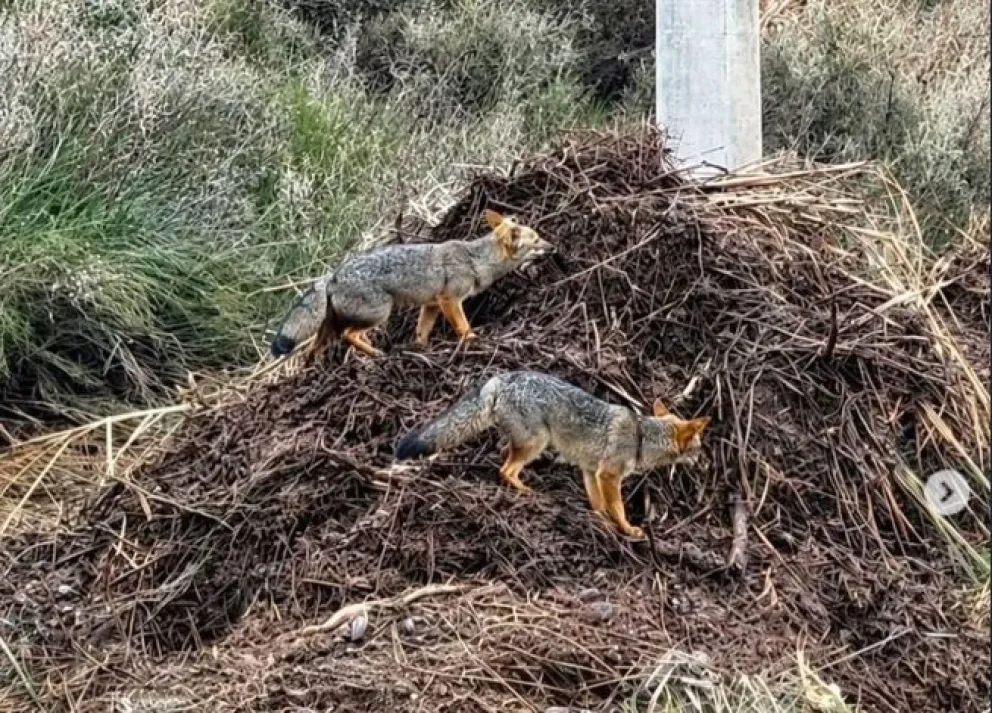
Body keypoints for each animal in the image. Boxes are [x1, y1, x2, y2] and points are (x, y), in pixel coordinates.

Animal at [270, 210, 553, 361]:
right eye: (537, 240)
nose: (552, 246)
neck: (476, 259)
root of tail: (333, 274)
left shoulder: (432, 306)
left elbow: (421, 333)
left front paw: (420, 351)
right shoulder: (450, 301)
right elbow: (463, 327)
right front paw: (473, 341)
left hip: (331, 329)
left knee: (314, 350)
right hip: (379, 315)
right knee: (350, 335)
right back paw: (376, 354)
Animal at [394, 371, 711, 539]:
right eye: (699, 448)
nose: (706, 462)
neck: (641, 436)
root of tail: (502, 378)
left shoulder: (590, 471)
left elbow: (598, 504)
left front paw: (601, 523)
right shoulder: (609, 474)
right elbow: (618, 507)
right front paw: (627, 528)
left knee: (504, 461)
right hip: (537, 443)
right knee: (505, 470)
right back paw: (527, 491)